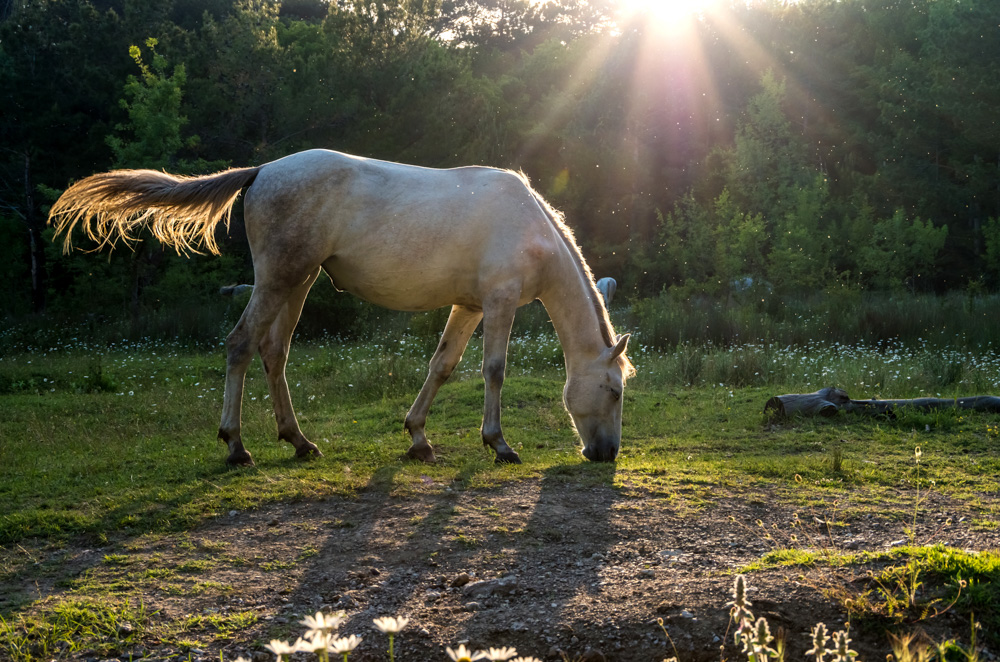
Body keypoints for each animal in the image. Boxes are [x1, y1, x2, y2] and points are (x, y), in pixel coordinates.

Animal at [48, 148, 632, 464]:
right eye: (614, 390)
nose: (605, 453)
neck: (530, 227)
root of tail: (262, 171)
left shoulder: (468, 307)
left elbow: (441, 366)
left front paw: (418, 438)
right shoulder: (500, 301)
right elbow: (494, 370)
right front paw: (499, 444)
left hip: (299, 281)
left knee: (274, 352)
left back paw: (299, 441)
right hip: (279, 278)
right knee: (241, 345)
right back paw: (237, 446)